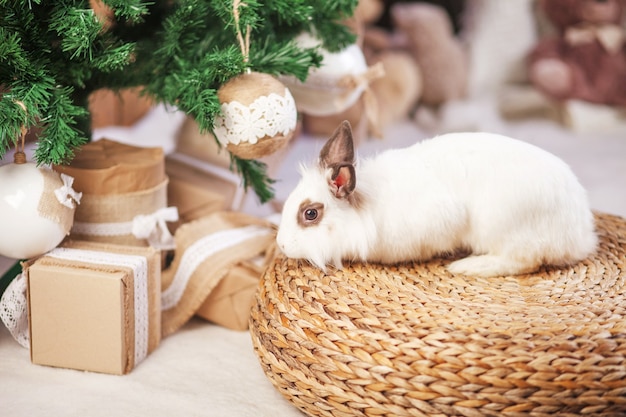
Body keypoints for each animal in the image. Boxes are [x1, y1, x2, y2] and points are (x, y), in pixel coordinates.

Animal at [276, 120, 596, 276]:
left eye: (310, 214)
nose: (281, 245)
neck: (367, 206)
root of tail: (581, 235)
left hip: (503, 226)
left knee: (524, 261)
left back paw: (468, 267)